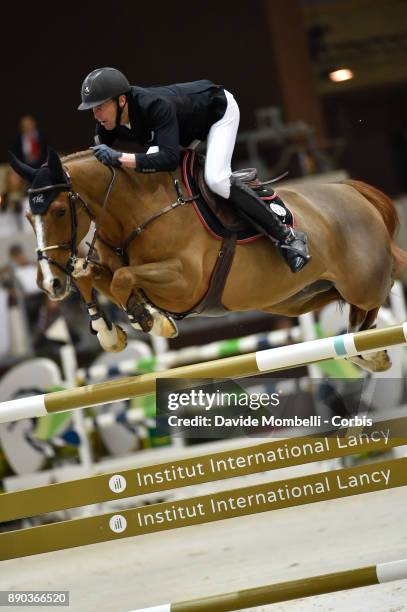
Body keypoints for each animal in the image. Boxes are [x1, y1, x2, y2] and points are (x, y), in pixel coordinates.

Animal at [8, 148, 407, 372]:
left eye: (59, 211)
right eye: (28, 216)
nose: (49, 284)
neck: (134, 212)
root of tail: (352, 190)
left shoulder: (184, 283)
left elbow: (123, 279)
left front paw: (151, 319)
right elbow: (92, 277)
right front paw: (111, 334)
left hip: (363, 281)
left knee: (378, 295)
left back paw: (369, 354)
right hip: (303, 297)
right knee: (358, 313)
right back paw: (365, 350)